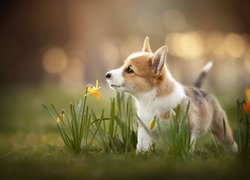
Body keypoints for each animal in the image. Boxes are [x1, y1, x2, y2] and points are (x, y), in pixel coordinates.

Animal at [104, 36, 237, 153]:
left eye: (130, 70)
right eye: (123, 65)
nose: (107, 75)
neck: (151, 99)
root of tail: (198, 88)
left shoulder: (187, 127)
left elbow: (185, 144)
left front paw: (184, 154)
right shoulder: (144, 127)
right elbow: (142, 144)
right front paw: (141, 154)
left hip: (220, 125)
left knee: (230, 140)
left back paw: (235, 151)